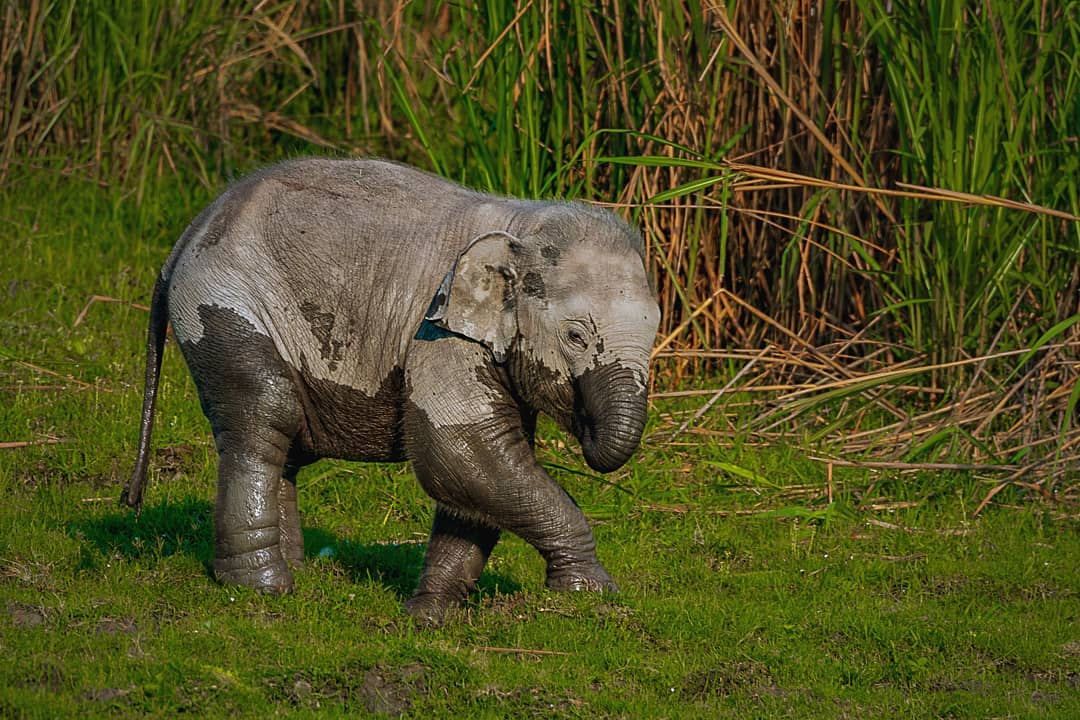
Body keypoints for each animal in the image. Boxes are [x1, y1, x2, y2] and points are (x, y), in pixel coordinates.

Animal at [123, 157, 660, 620]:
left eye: (656, 331)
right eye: (575, 337)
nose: (586, 426)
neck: (520, 223)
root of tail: (189, 232)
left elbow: (480, 471)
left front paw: (427, 615)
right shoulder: (438, 333)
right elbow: (459, 453)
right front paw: (590, 591)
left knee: (286, 440)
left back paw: (296, 570)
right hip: (222, 299)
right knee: (264, 414)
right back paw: (262, 587)